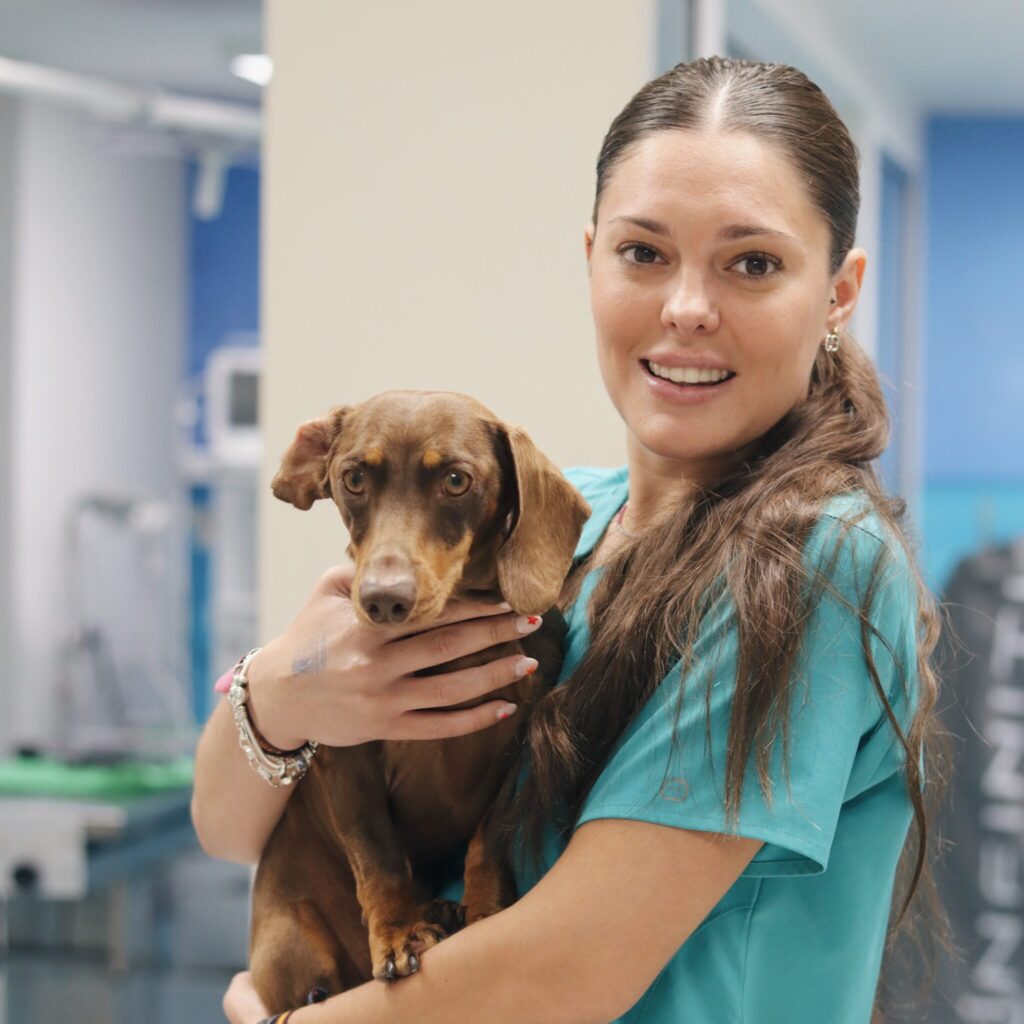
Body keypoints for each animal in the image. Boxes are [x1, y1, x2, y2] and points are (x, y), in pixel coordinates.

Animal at [249, 390, 590, 1012]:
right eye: (353, 478)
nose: (384, 601)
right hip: (293, 946)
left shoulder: (518, 751)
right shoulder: (348, 758)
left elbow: (487, 840)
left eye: (456, 480)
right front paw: (398, 933)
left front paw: (485, 910)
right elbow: (380, 858)